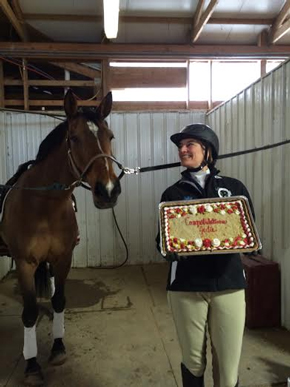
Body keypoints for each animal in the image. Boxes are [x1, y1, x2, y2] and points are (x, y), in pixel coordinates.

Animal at [0, 90, 121, 384]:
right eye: (74, 138)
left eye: (110, 136)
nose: (108, 190)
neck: (45, 204)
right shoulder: (25, 263)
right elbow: (29, 313)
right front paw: (32, 365)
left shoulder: (63, 258)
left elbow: (59, 301)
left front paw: (57, 348)